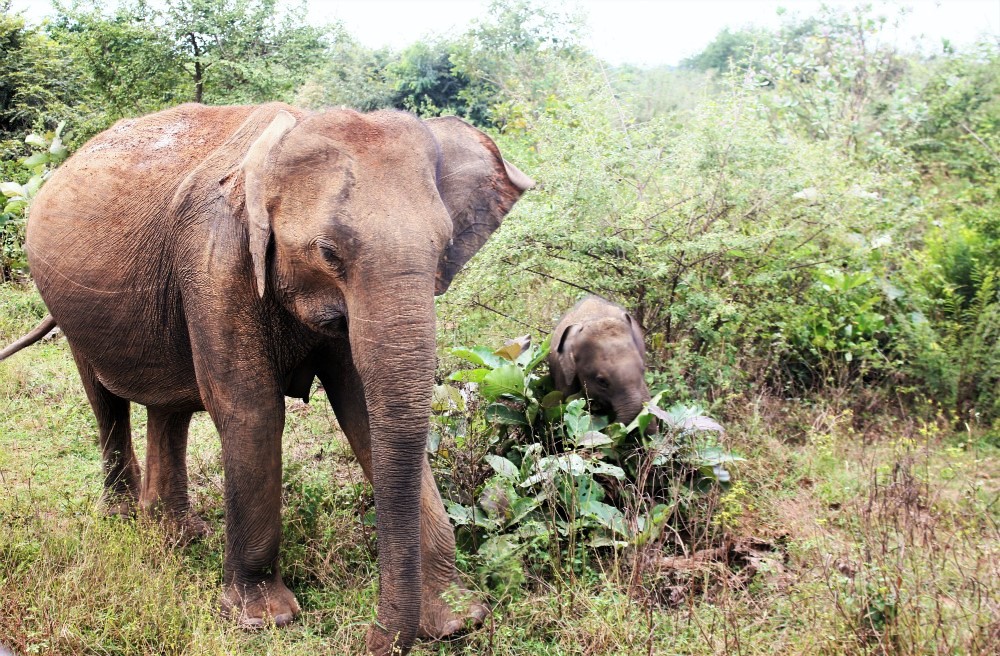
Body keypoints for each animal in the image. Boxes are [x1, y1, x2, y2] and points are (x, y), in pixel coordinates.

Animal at [1, 104, 532, 656]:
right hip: (67, 305)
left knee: (168, 406)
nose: (368, 635)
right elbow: (251, 411)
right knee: (104, 398)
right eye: (328, 253)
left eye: (445, 247)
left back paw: (175, 534)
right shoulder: (216, 261)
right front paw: (264, 620)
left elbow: (362, 414)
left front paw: (458, 620)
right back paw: (125, 521)